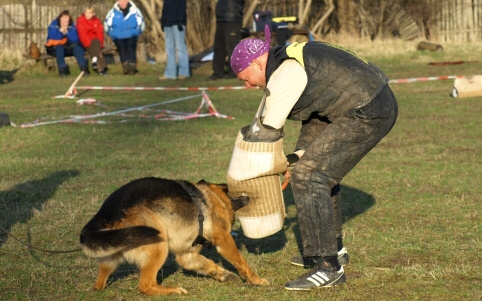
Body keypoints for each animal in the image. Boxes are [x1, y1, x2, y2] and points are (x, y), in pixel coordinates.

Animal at [79, 177, 268, 294]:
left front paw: (220, 273)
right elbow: (241, 261)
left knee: (99, 283)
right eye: (229, 188)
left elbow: (206, 263)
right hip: (159, 245)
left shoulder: (187, 255)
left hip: (111, 256)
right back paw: (172, 290)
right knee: (145, 285)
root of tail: (108, 211)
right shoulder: (224, 239)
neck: (210, 196)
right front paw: (256, 280)